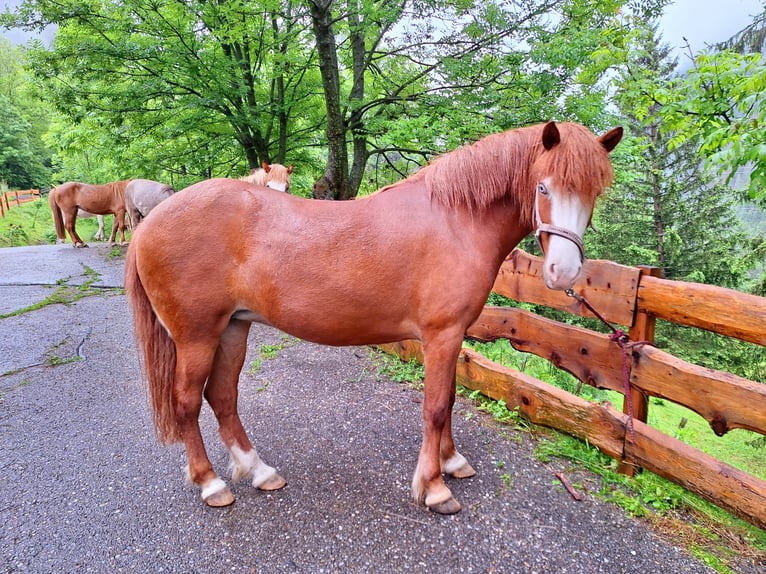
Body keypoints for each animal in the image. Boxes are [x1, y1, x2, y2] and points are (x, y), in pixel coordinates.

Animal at [126, 121, 624, 512]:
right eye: (543, 187)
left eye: (594, 193)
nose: (564, 272)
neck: (456, 219)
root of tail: (152, 221)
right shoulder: (441, 335)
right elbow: (436, 407)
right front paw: (434, 488)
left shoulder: (453, 337)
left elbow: (450, 400)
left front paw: (452, 463)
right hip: (196, 336)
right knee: (188, 403)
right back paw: (211, 484)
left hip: (233, 327)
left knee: (222, 397)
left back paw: (260, 471)